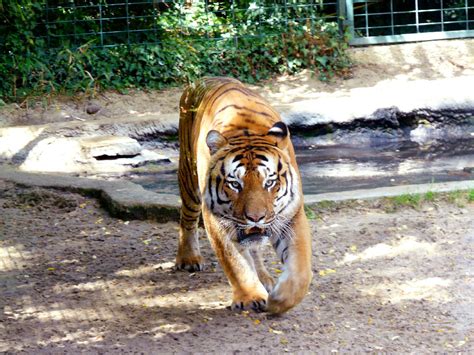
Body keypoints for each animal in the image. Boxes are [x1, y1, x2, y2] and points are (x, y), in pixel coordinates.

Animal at [176, 76, 312, 312]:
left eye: (269, 182)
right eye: (234, 184)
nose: (255, 218)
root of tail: (201, 80)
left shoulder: (291, 215)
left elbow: (300, 270)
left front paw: (279, 301)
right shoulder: (216, 219)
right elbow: (236, 263)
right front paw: (251, 297)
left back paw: (265, 278)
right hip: (188, 178)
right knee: (187, 219)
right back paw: (188, 258)